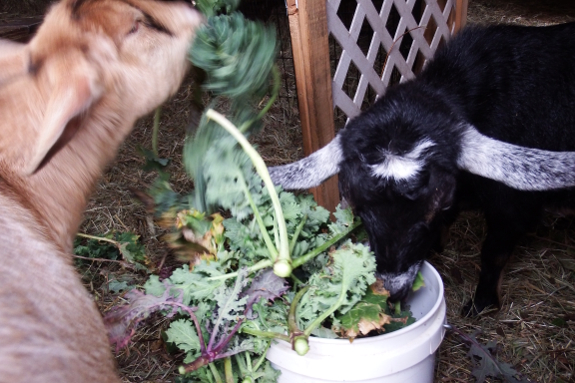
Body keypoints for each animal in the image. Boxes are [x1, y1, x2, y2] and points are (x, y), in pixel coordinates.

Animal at [270, 22, 575, 316]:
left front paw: (481, 304)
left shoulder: (512, 208)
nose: (393, 292)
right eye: (361, 212)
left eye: (434, 210)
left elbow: (492, 255)